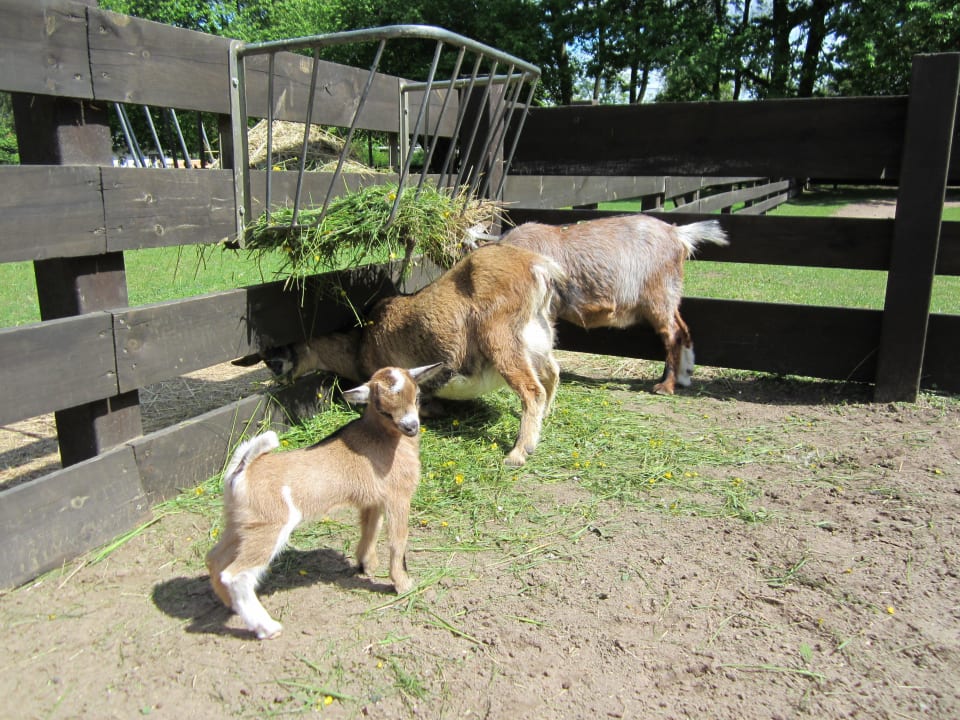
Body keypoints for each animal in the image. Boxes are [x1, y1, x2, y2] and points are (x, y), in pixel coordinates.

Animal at [205, 363, 442, 640]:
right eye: (383, 409)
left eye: (417, 397)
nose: (411, 427)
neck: (380, 436)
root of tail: (243, 468)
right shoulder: (398, 496)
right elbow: (398, 540)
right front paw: (403, 585)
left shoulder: (373, 500)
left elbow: (370, 529)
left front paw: (366, 565)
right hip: (268, 527)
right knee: (237, 575)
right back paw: (268, 628)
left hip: (240, 523)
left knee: (215, 559)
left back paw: (232, 606)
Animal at [262, 243, 566, 467]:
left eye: (279, 358)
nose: (277, 378)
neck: (360, 343)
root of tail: (537, 267)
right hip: (538, 337)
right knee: (553, 372)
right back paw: (547, 416)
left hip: (501, 338)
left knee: (532, 389)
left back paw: (519, 452)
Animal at [499, 214, 728, 395]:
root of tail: (677, 233)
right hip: (669, 296)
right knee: (683, 328)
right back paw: (685, 376)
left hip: (659, 296)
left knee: (672, 334)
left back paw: (666, 386)